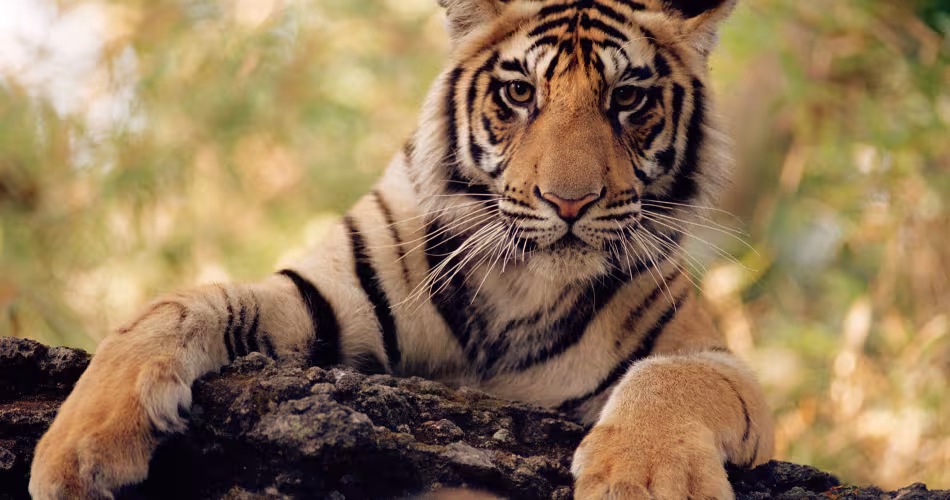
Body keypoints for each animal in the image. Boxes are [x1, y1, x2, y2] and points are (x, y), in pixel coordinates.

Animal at [29, 0, 774, 498]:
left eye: (627, 99)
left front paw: (647, 479)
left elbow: (671, 377)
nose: (569, 202)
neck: (521, 281)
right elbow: (176, 306)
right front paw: (76, 447)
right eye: (519, 92)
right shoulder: (323, 300)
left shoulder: (715, 361)